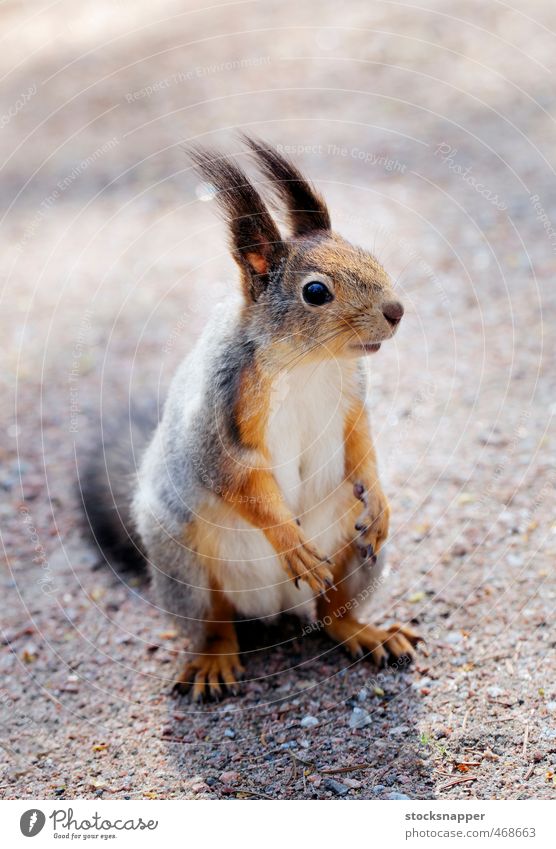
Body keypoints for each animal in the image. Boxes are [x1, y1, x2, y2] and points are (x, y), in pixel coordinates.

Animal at [80, 136, 420, 700]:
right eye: (315, 291)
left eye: (368, 254)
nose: (396, 312)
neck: (307, 364)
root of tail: (274, 607)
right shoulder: (223, 413)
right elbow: (240, 478)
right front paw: (291, 542)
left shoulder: (352, 399)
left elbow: (361, 443)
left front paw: (382, 500)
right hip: (185, 563)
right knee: (215, 623)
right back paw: (214, 659)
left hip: (351, 554)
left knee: (331, 614)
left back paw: (367, 632)